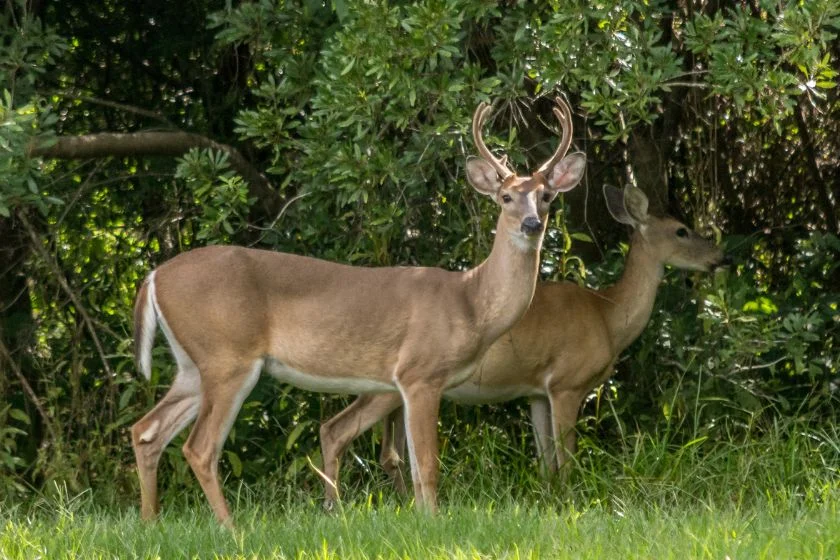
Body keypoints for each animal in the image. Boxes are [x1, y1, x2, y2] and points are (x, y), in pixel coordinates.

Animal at [131, 97, 588, 524]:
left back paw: (151, 521)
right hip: (228, 357)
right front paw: (433, 522)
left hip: (194, 364)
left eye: (547, 197)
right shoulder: (420, 374)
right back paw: (231, 528)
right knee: (199, 446)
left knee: (147, 430)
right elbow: (427, 466)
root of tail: (154, 276)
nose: (531, 224)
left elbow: (413, 467)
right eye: (506, 196)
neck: (469, 302)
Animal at [318, 184, 724, 508]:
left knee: (389, 452)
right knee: (343, 433)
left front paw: (550, 501)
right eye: (681, 230)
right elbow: (566, 456)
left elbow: (545, 461)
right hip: (393, 382)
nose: (722, 257)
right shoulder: (567, 383)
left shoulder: (537, 392)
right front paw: (570, 501)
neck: (608, 316)